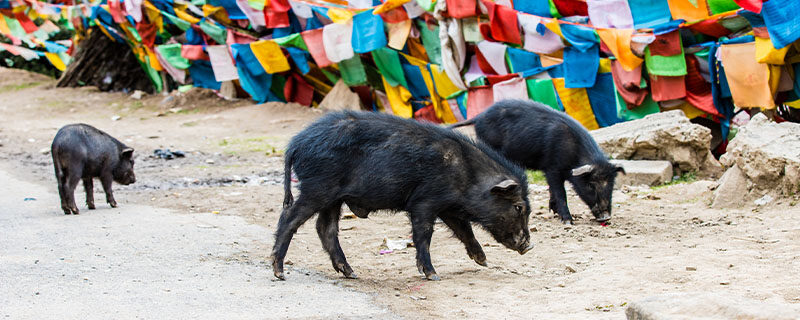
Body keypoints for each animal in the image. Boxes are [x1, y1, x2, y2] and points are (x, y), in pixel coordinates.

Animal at [272, 111, 536, 282]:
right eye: (519, 207)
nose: (529, 245)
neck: (467, 175)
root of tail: (295, 145)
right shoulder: (424, 202)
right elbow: (424, 234)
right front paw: (433, 275)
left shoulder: (447, 207)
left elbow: (464, 230)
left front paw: (483, 260)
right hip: (318, 188)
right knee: (290, 218)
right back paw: (279, 272)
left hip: (332, 198)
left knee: (325, 228)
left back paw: (351, 273)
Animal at [450, 100, 624, 225]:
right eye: (591, 185)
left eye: (611, 185)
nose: (606, 217)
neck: (574, 153)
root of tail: (479, 116)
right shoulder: (552, 168)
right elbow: (560, 192)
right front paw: (568, 221)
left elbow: (553, 190)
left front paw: (554, 211)